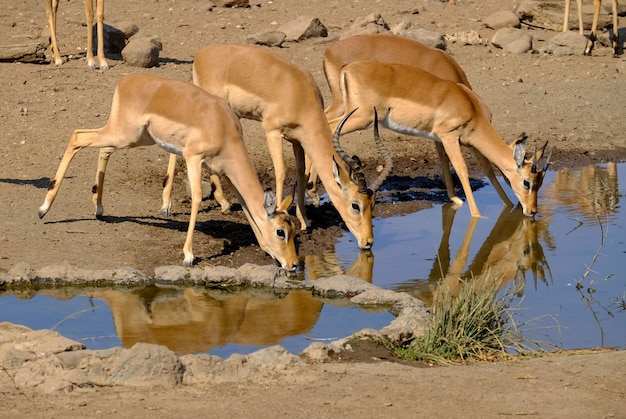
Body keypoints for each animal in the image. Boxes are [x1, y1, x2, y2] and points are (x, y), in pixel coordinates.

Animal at [37, 74, 298, 270]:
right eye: (281, 232)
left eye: (294, 229)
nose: (294, 264)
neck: (222, 127)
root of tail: (126, 80)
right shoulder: (193, 158)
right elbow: (196, 198)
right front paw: (188, 256)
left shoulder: (223, 171)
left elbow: (245, 204)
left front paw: (265, 248)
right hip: (124, 134)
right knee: (78, 136)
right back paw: (44, 209)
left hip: (134, 138)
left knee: (102, 149)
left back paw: (99, 208)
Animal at [163, 44, 392, 251]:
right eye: (355, 204)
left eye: (373, 204)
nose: (368, 242)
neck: (298, 94)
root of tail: (202, 53)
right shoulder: (272, 131)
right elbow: (281, 171)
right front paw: (281, 213)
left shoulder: (298, 139)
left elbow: (300, 172)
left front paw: (304, 220)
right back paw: (171, 206)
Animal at [306, 33, 516, 213]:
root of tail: (331, 54)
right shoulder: (444, 132)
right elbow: (448, 157)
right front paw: (456, 197)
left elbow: (480, 164)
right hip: (356, 114)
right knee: (328, 126)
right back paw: (313, 191)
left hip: (345, 107)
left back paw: (313, 190)